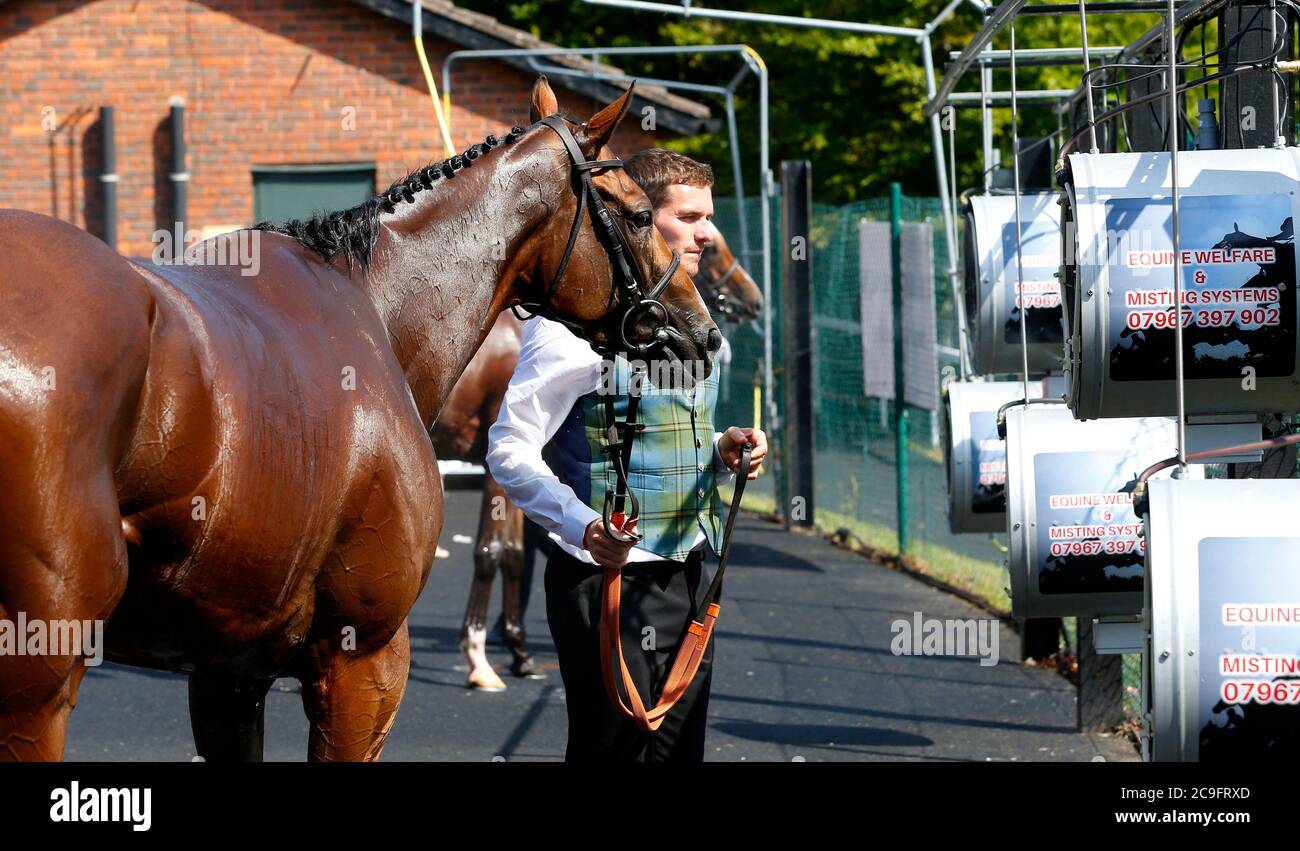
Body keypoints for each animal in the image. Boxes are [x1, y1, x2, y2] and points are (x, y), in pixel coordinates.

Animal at [0, 76, 720, 761]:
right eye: (639, 215)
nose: (704, 331)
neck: (377, 308)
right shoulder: (364, 662)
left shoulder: (227, 672)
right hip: (37, 683)